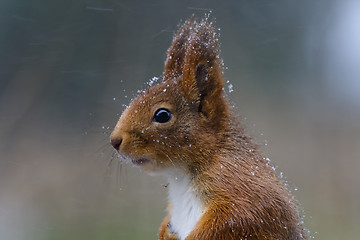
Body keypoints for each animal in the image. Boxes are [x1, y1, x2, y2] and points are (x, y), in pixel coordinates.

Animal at [109, 16, 306, 240]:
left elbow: (246, 217)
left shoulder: (241, 183)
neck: (181, 176)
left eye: (162, 115)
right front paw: (165, 230)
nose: (114, 141)